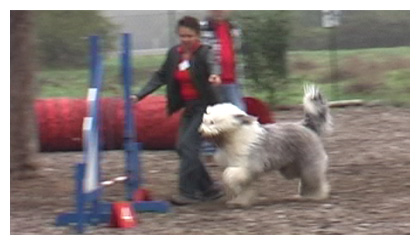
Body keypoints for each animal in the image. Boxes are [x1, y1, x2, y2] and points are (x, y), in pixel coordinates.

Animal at [199, 85, 334, 208]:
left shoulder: (248, 166)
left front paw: (233, 189)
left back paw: (316, 196)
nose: (200, 132)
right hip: (290, 168)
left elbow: (229, 175)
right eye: (204, 121)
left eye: (212, 122)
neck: (232, 137)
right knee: (303, 178)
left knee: (313, 178)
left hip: (309, 163)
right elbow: (244, 188)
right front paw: (240, 201)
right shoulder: (238, 168)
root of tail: (305, 126)